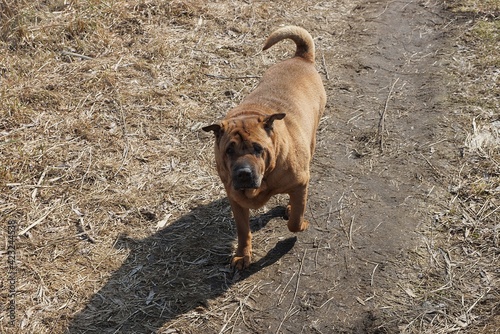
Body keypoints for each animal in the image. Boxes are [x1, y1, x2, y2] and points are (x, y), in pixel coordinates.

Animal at [203, 25, 328, 268]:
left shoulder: (300, 183)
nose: (243, 173)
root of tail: (300, 58)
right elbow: (243, 230)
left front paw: (298, 224)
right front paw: (243, 254)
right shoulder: (235, 199)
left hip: (312, 139)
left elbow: (296, 219)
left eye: (258, 148)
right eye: (229, 150)